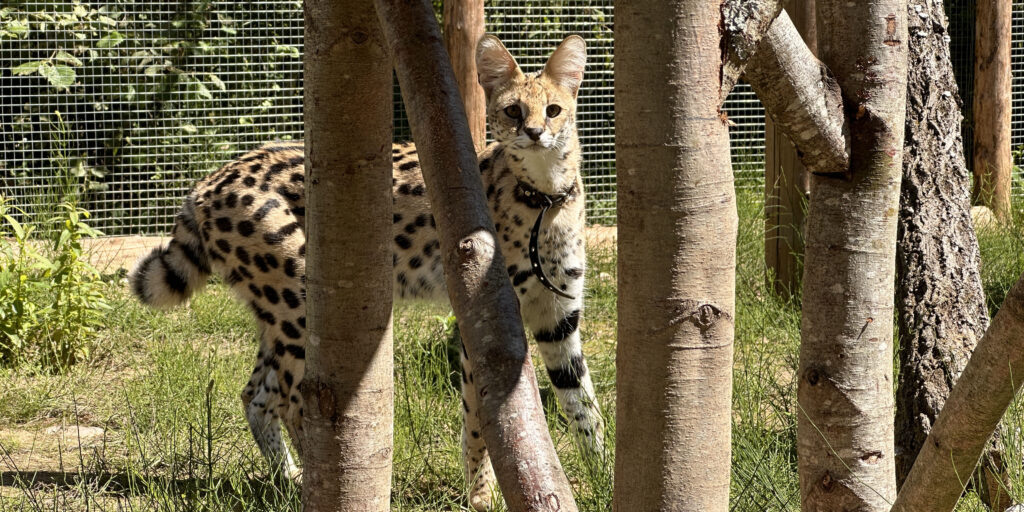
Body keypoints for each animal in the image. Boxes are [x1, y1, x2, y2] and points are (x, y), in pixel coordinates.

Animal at [128, 34, 601, 511]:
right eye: (513, 111)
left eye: (554, 110)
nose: (535, 133)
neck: (546, 196)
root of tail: (207, 183)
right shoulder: (482, 324)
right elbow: (479, 421)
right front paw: (480, 496)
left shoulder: (558, 316)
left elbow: (583, 403)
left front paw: (601, 477)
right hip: (298, 303)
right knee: (295, 403)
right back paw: (311, 487)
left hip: (278, 313)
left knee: (257, 395)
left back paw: (288, 480)